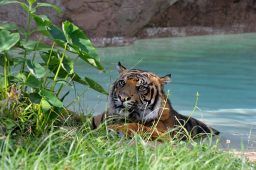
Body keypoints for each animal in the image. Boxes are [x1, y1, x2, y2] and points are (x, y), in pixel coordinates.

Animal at [92, 61, 220, 140]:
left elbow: (137, 126)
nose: (122, 98)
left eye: (141, 88)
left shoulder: (165, 135)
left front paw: (114, 128)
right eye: (122, 83)